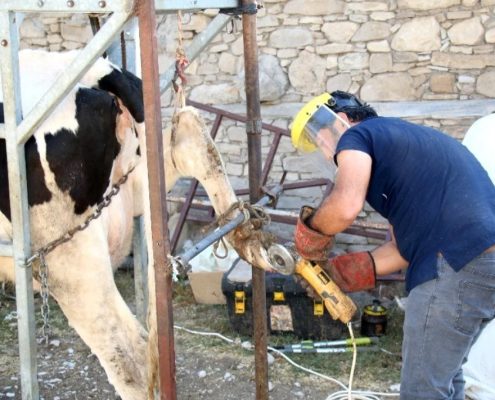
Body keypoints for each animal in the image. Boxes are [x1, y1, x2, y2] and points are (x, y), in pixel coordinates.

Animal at [0, 50, 274, 400]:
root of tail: (99, 71)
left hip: (64, 252)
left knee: (131, 358)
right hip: (138, 177)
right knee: (186, 133)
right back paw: (246, 235)